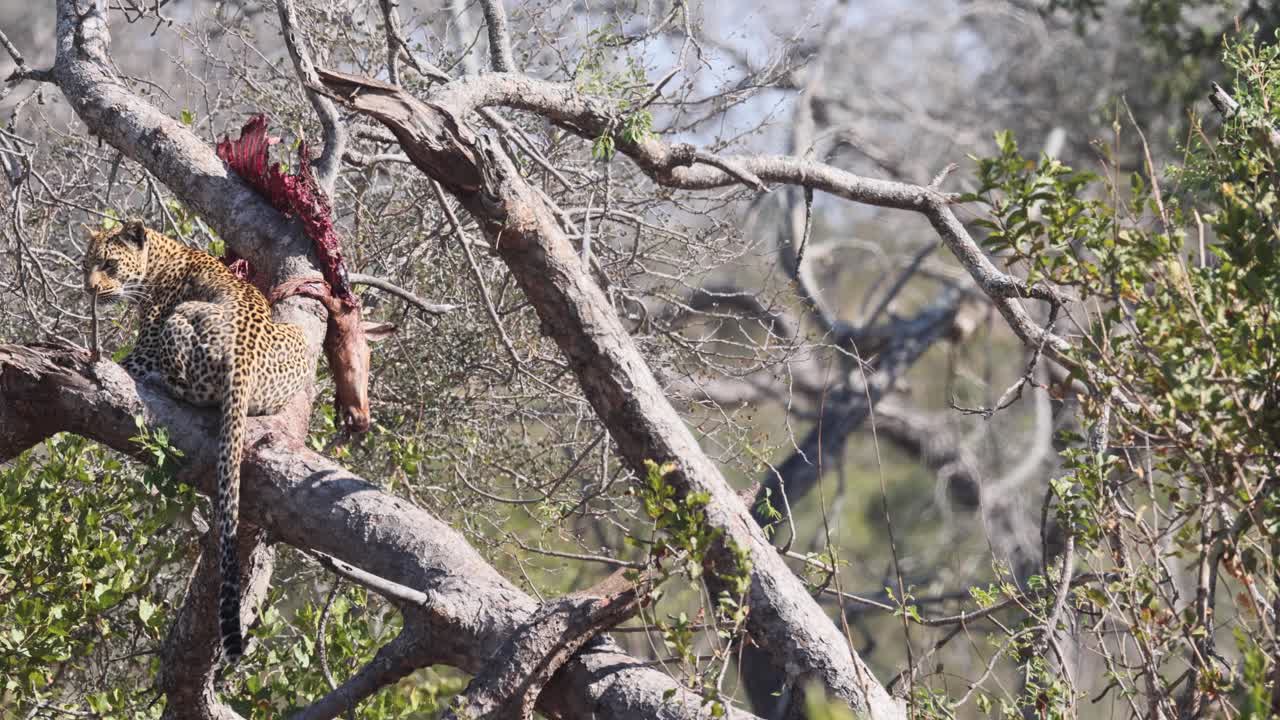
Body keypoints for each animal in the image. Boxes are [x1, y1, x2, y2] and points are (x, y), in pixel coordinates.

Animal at [83, 220, 312, 663]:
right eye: (87, 265)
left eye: (108, 264)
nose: (89, 289)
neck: (160, 259)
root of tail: (245, 360)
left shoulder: (145, 346)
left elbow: (123, 361)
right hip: (295, 340)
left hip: (181, 319)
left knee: (183, 385)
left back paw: (162, 383)